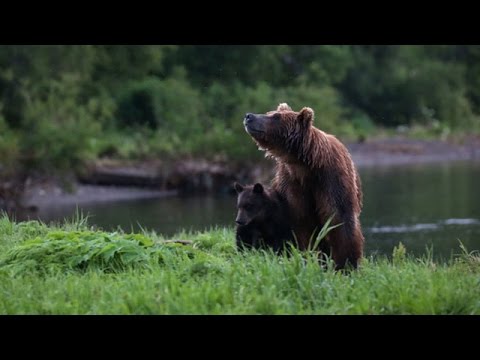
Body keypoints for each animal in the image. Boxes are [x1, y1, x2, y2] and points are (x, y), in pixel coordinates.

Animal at [244, 102, 364, 268]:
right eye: (270, 113)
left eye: (275, 116)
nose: (249, 116)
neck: (305, 165)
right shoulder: (292, 183)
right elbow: (301, 223)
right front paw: (307, 255)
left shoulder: (331, 179)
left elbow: (339, 219)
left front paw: (345, 263)